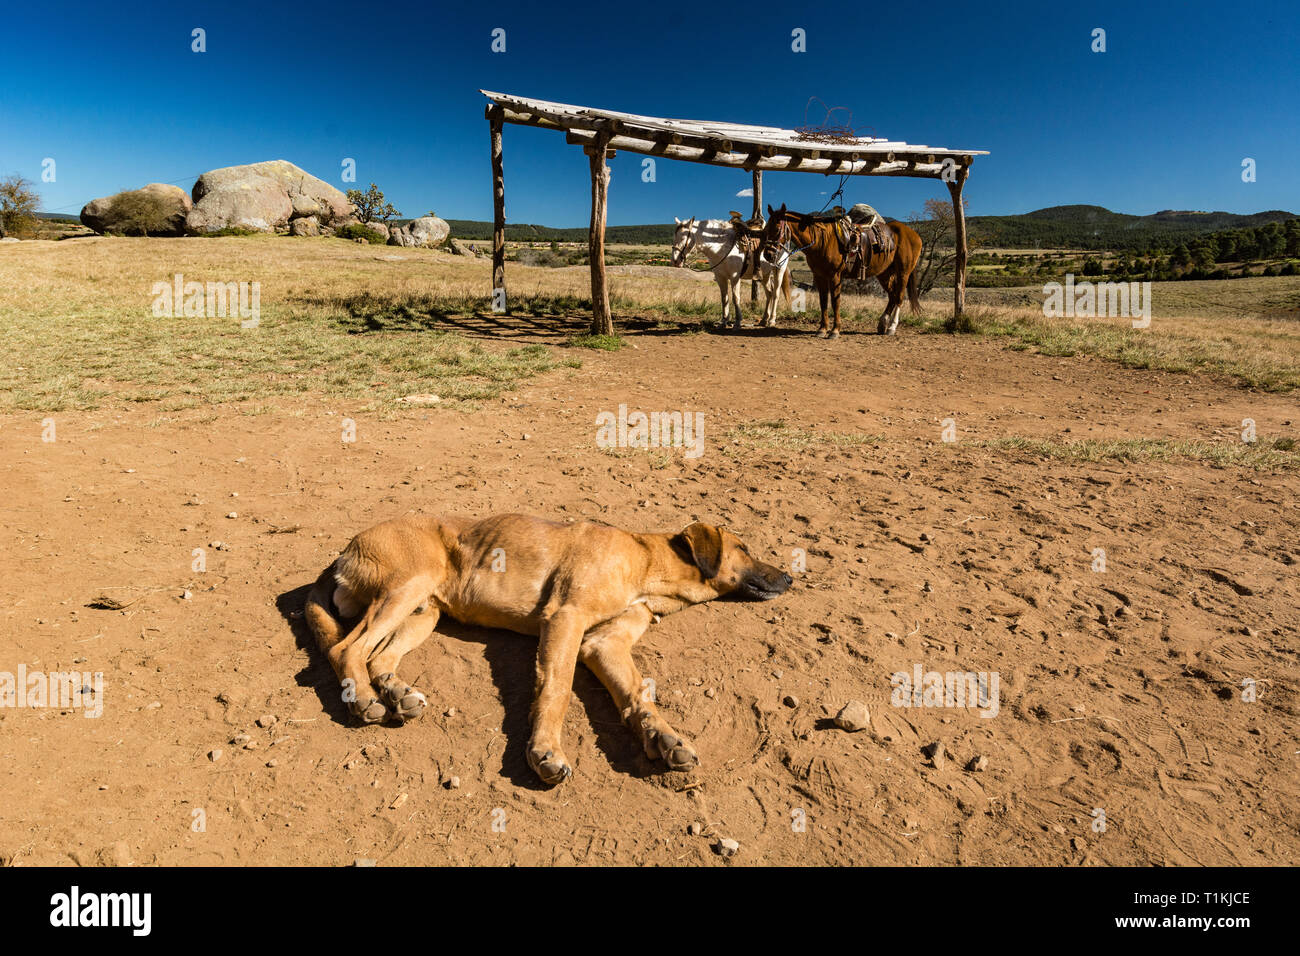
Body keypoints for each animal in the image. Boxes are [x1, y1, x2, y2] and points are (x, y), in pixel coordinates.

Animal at [760, 203, 923, 338]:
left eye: (777, 229)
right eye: (766, 229)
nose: (768, 255)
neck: (822, 240)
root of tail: (914, 234)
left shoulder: (835, 276)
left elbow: (835, 302)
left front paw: (835, 331)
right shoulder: (819, 276)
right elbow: (823, 302)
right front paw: (822, 329)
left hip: (903, 273)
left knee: (899, 297)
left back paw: (892, 327)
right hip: (884, 273)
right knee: (892, 296)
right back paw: (883, 323)